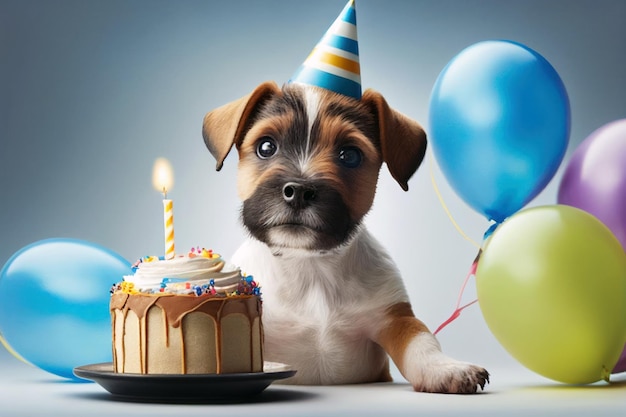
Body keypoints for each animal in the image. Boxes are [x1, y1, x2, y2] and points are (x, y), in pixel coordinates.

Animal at [204, 82, 488, 394]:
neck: (309, 265)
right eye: (266, 147)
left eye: (349, 155)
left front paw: (445, 368)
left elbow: (422, 341)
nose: (299, 191)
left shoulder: (396, 318)